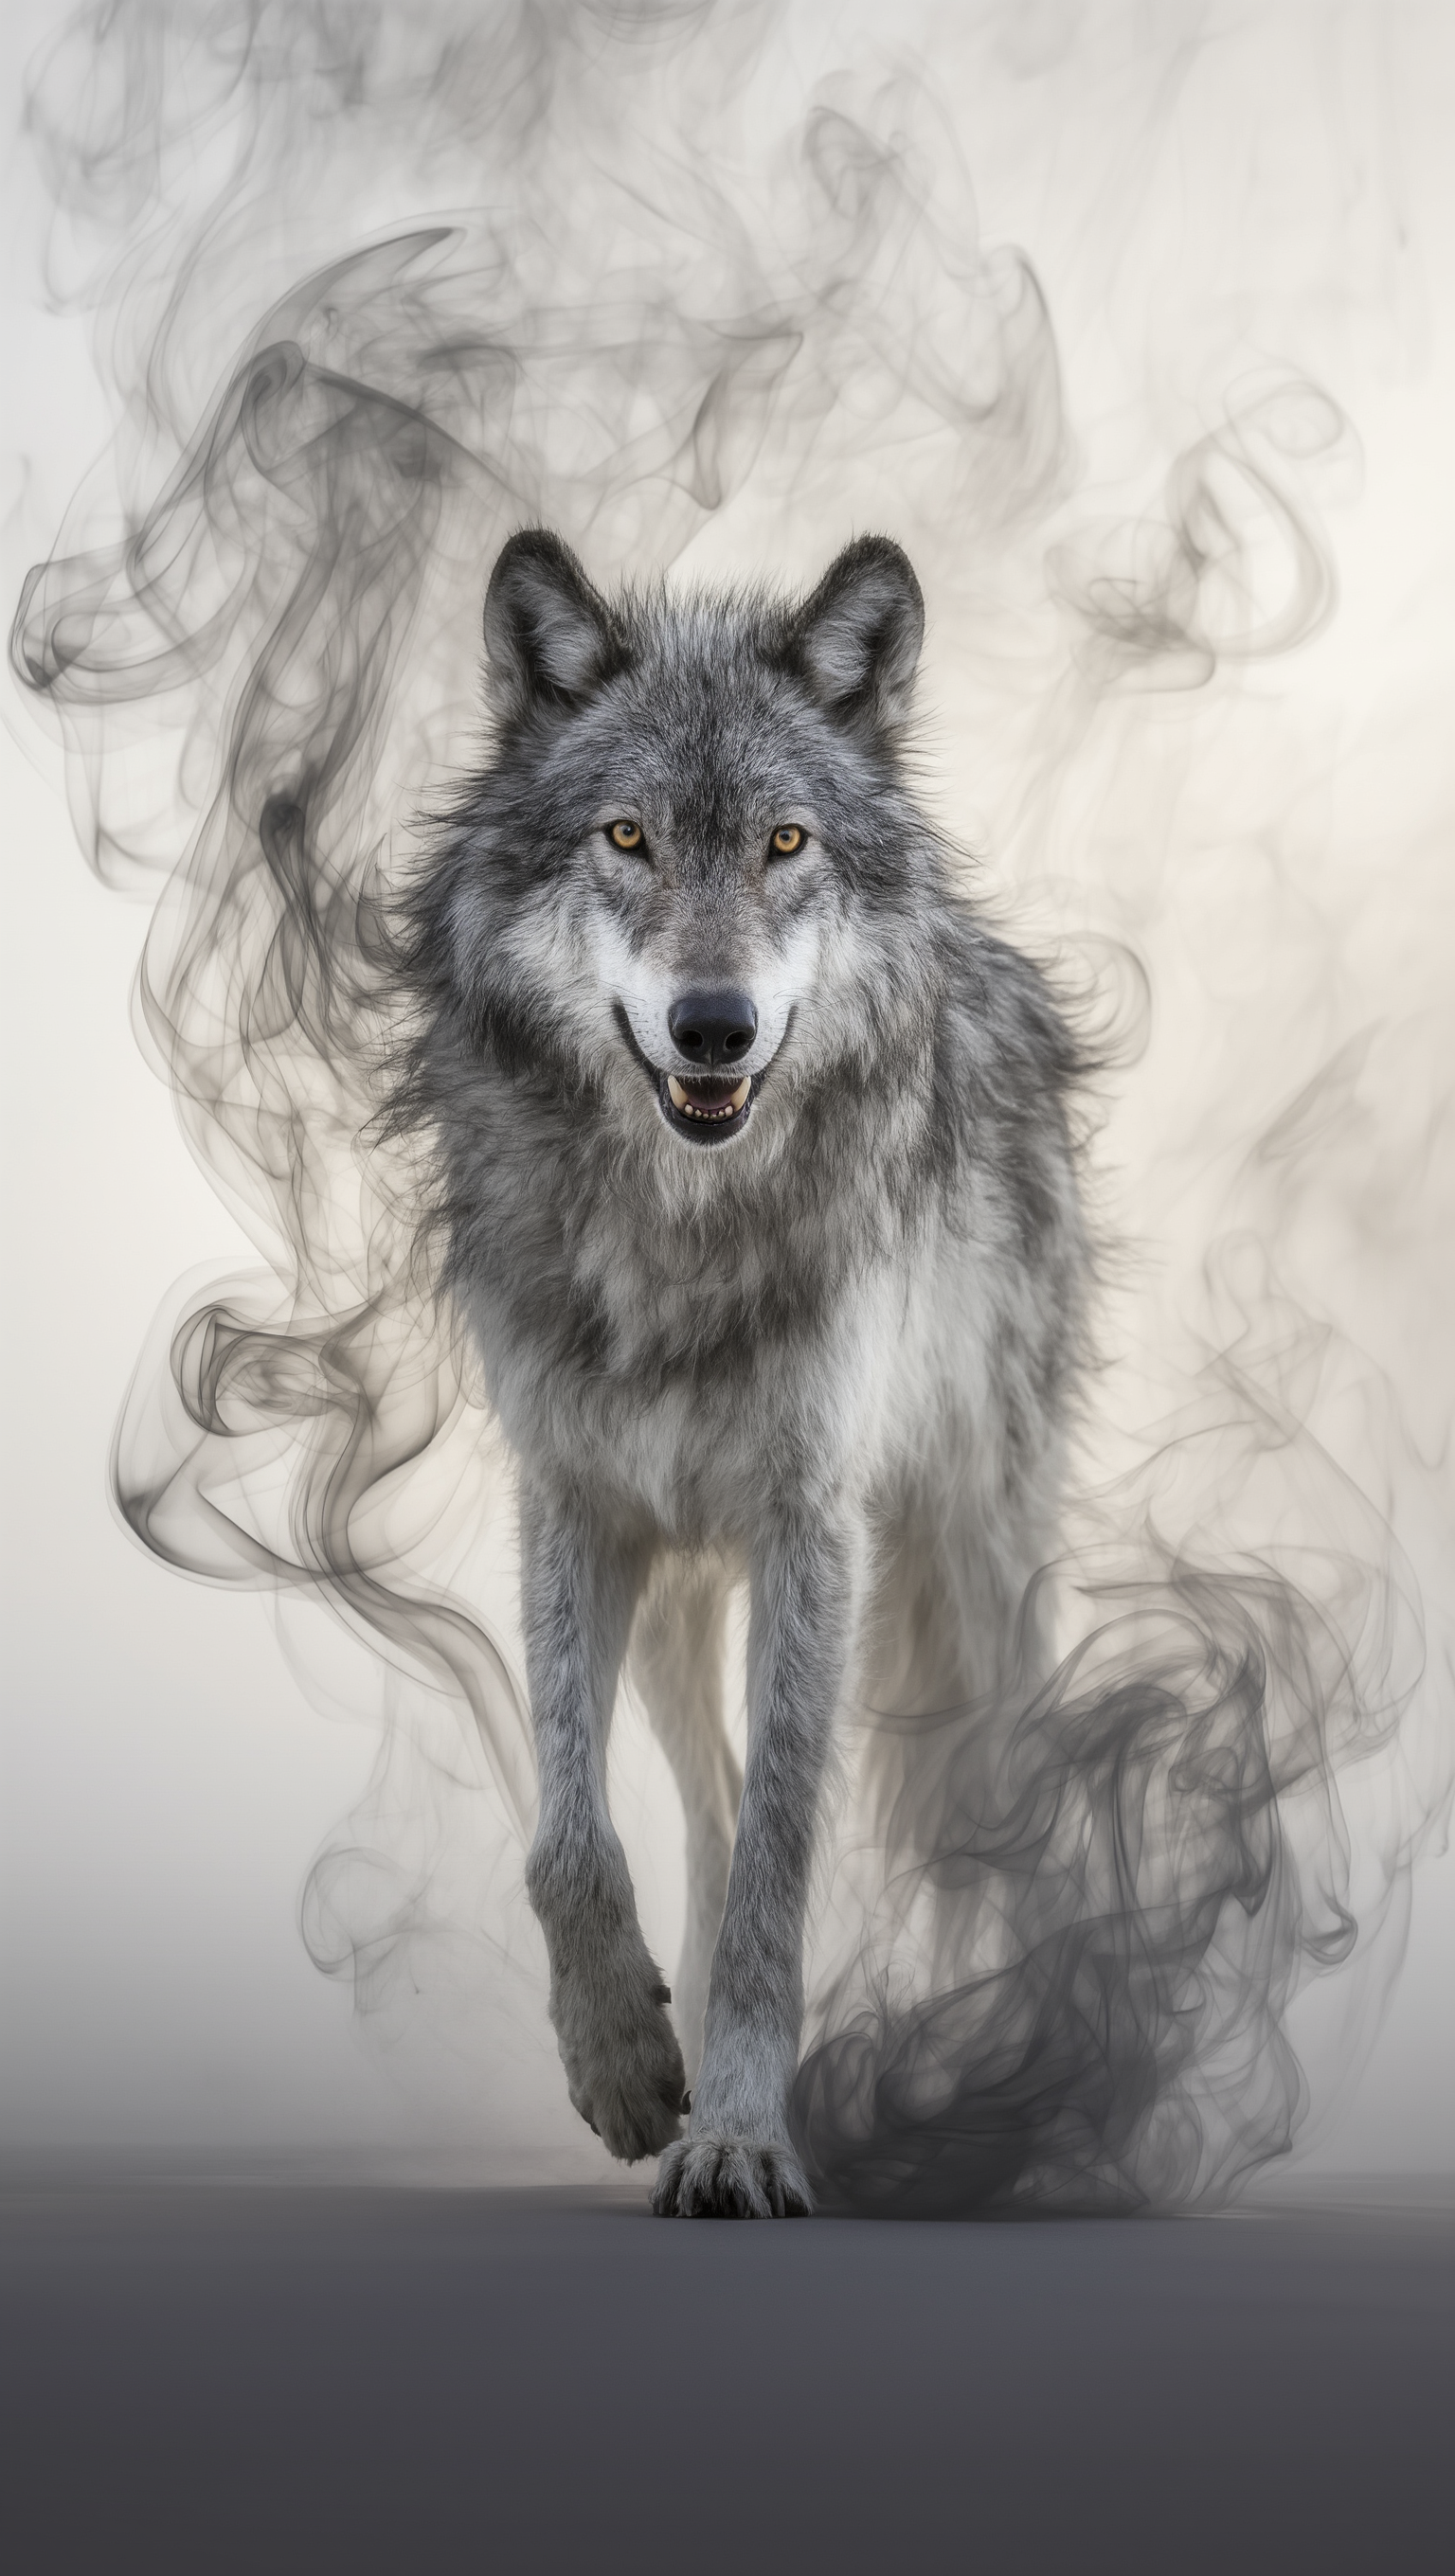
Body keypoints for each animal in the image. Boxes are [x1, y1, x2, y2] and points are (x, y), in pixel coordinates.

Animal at [395, 528, 1089, 2217]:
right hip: (676, 1594)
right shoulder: (575, 1503)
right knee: (700, 1807)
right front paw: (631, 2069)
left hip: (970, 1565)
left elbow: (785, 1855)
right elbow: (572, 1840)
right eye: (626, 836)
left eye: (785, 842)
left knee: (1010, 1789)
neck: (680, 1231)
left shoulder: (812, 1529)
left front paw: (747, 2136)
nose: (713, 1027)